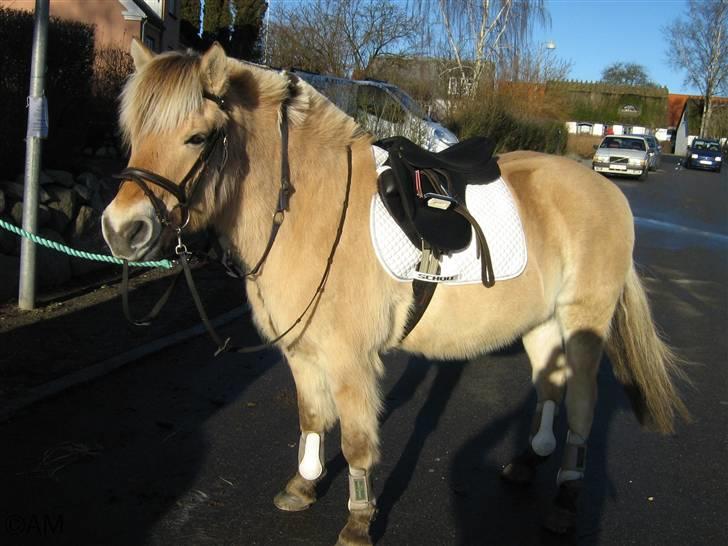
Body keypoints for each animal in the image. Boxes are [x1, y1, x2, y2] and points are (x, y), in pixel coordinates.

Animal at [102, 41, 688, 540]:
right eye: (131, 132)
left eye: (198, 138)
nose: (121, 230)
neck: (308, 208)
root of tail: (606, 187)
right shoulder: (301, 353)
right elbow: (312, 421)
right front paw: (303, 486)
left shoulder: (350, 360)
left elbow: (357, 442)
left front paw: (359, 521)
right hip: (540, 321)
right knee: (551, 385)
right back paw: (528, 461)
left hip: (585, 322)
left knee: (584, 404)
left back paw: (566, 498)